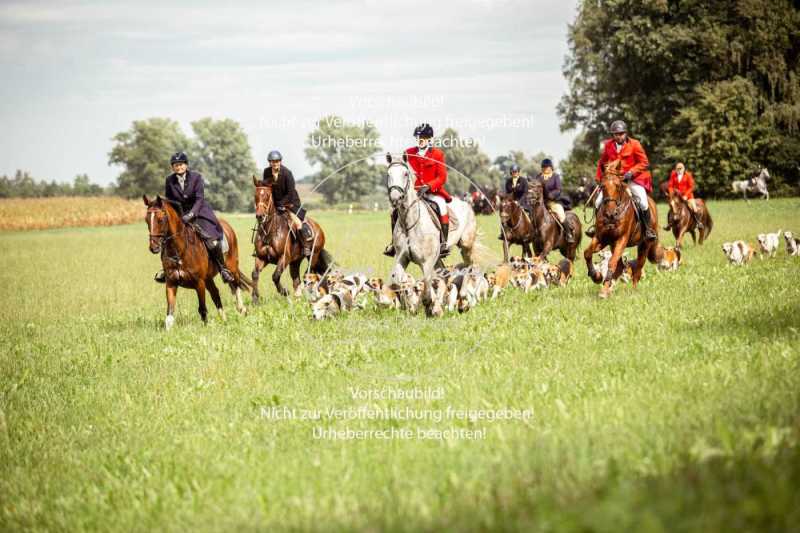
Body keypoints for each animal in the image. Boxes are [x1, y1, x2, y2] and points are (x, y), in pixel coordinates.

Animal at [141, 195, 247, 328]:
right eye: (146, 220)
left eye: (160, 219)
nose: (153, 247)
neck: (179, 251)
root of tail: (226, 226)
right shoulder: (171, 283)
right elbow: (169, 315)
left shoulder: (199, 283)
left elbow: (202, 309)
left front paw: (205, 327)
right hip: (208, 278)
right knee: (215, 293)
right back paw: (224, 320)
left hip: (231, 267)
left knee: (235, 284)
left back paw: (242, 309)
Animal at [386, 152, 478, 314]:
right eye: (388, 174)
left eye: (405, 174)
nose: (396, 198)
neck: (409, 223)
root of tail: (467, 204)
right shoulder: (401, 257)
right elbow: (398, 281)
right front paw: (409, 306)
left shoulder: (426, 261)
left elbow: (427, 285)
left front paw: (429, 306)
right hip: (438, 257)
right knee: (444, 275)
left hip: (466, 246)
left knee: (468, 266)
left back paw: (463, 300)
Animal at [584, 160, 660, 298]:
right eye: (602, 186)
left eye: (618, 186)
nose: (610, 214)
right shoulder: (601, 238)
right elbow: (587, 253)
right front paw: (596, 277)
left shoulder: (622, 239)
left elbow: (612, 263)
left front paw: (603, 290)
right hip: (613, 245)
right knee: (620, 266)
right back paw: (610, 287)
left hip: (644, 244)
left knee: (638, 268)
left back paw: (633, 291)